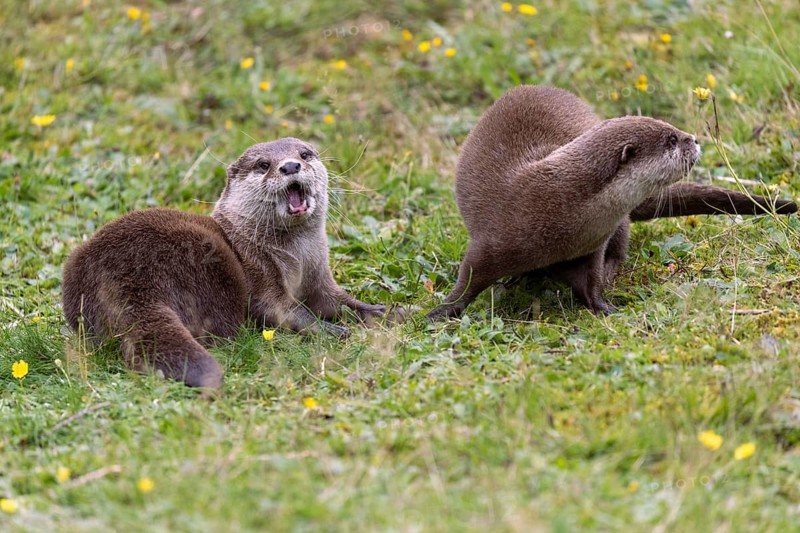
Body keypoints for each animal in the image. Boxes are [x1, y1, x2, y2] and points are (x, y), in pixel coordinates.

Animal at [63, 138, 392, 390]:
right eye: (263, 165)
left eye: (304, 154)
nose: (289, 166)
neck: (296, 260)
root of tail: (122, 279)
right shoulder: (260, 272)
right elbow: (283, 311)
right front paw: (331, 330)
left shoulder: (319, 276)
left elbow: (340, 302)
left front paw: (387, 312)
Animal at [427, 85, 797, 319]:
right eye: (670, 139)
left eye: (673, 130)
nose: (693, 139)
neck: (558, 210)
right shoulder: (493, 239)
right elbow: (469, 277)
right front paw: (442, 311)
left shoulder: (593, 245)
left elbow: (591, 280)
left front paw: (605, 307)